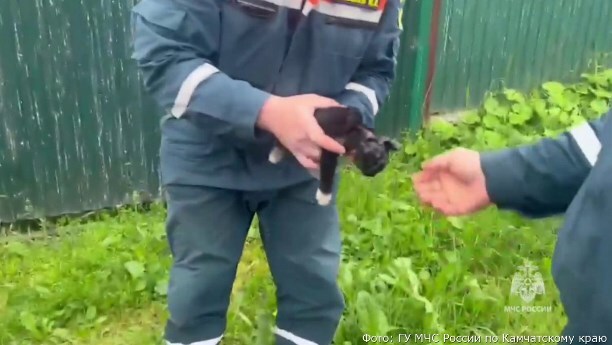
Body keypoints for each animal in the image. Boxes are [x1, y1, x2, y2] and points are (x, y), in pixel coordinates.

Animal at [268, 105, 402, 204]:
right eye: (376, 160)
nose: (371, 175)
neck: (355, 136)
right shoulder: (329, 148)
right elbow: (327, 173)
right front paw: (324, 196)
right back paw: (275, 155)